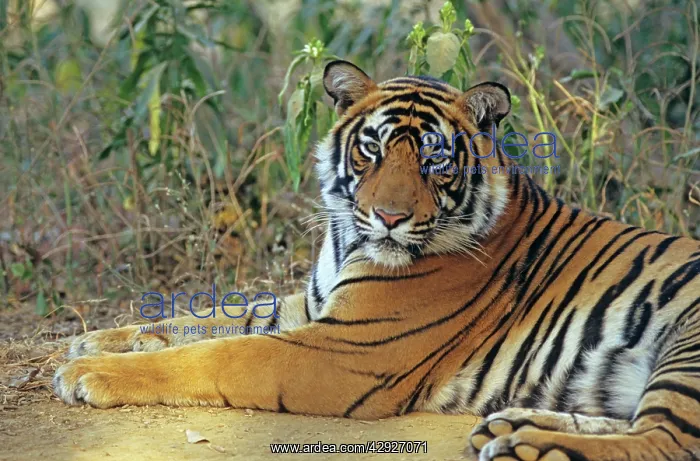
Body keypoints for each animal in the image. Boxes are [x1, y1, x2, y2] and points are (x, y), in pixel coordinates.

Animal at [53, 60, 700, 461]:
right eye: (372, 150)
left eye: (436, 160)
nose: (389, 217)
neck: (349, 240)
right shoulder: (313, 304)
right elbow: (213, 316)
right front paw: (100, 339)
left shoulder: (346, 350)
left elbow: (218, 353)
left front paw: (88, 372)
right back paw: (514, 425)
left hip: (686, 347)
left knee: (667, 440)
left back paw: (527, 444)